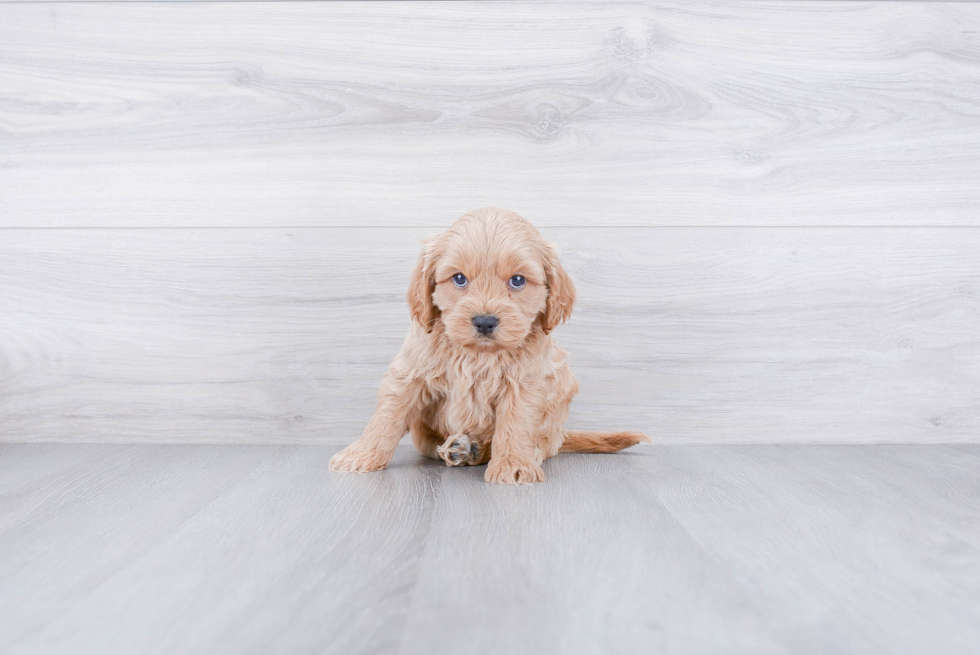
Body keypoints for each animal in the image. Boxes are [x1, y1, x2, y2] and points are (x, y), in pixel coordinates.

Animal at [332, 208, 652, 484]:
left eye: (518, 280)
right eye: (459, 279)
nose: (485, 321)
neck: (477, 354)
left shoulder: (525, 383)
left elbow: (515, 426)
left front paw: (513, 466)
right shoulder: (411, 372)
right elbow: (388, 415)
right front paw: (361, 454)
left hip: (557, 407)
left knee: (542, 446)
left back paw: (477, 450)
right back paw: (463, 448)